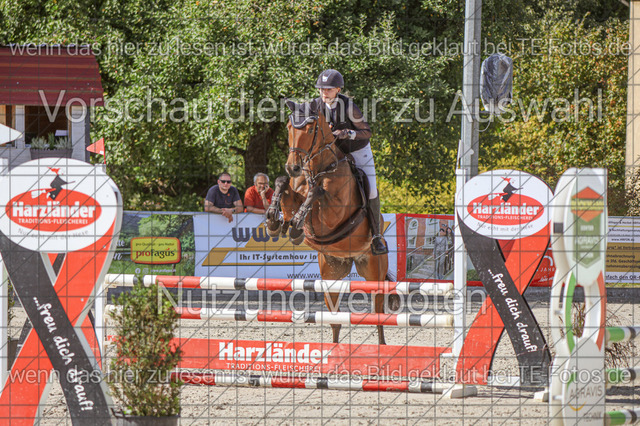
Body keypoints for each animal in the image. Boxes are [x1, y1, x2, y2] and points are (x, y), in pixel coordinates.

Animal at [266, 98, 397, 345]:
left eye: (310, 129)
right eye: (288, 128)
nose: (293, 167)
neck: (320, 168)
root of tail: (352, 259)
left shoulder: (333, 215)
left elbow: (316, 193)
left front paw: (295, 226)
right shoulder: (295, 192)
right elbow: (282, 184)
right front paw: (275, 222)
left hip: (374, 273)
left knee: (379, 317)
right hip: (331, 276)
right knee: (335, 321)